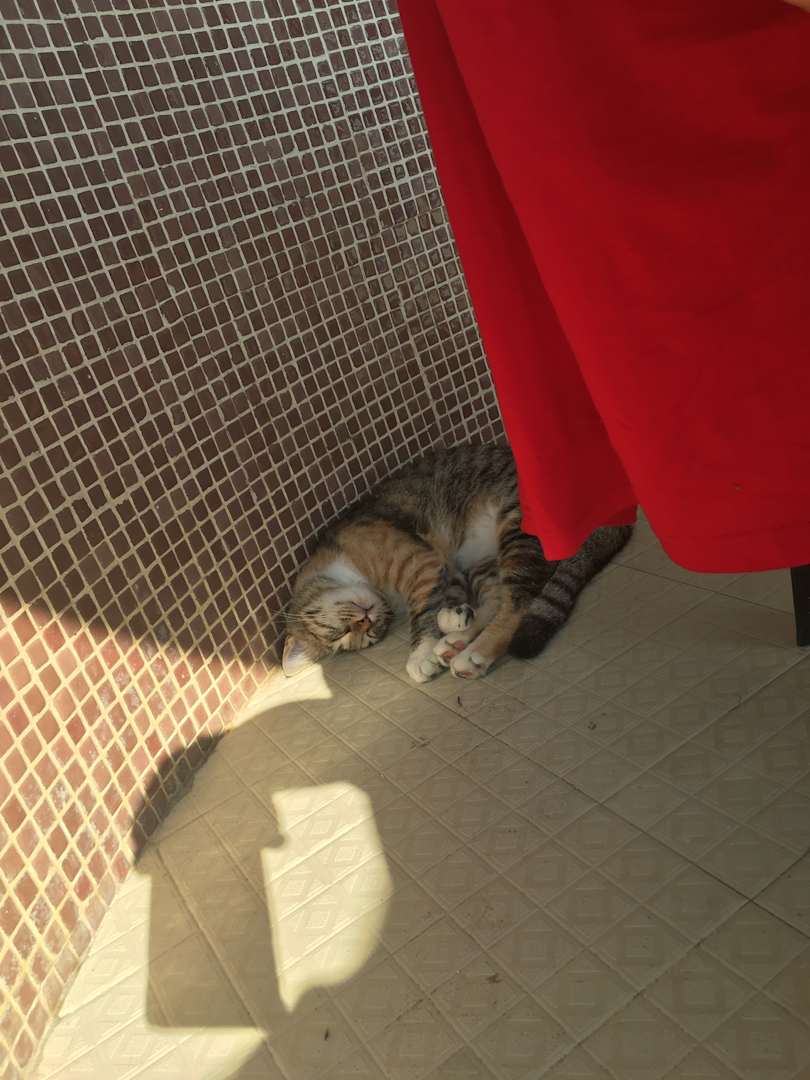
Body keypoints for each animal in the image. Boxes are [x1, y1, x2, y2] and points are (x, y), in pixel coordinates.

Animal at [282, 444, 632, 683]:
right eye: (367, 637)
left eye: (337, 632)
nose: (366, 622)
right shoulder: (444, 569)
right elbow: (442, 604)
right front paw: (453, 620)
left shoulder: (418, 561)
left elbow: (422, 612)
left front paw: (421, 653)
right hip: (482, 561)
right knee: (499, 598)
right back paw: (457, 642)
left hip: (516, 526)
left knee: (519, 602)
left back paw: (474, 654)